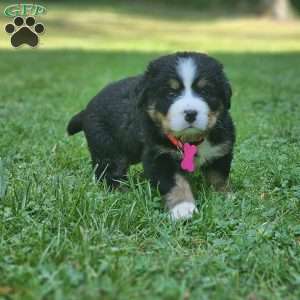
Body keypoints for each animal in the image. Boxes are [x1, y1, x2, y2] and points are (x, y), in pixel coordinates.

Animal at [67, 52, 234, 220]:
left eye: (205, 91)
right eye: (171, 93)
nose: (191, 113)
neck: (190, 140)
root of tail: (86, 110)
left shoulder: (220, 151)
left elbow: (218, 177)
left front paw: (224, 196)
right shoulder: (159, 156)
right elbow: (176, 182)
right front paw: (183, 208)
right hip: (107, 150)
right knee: (107, 174)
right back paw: (121, 192)